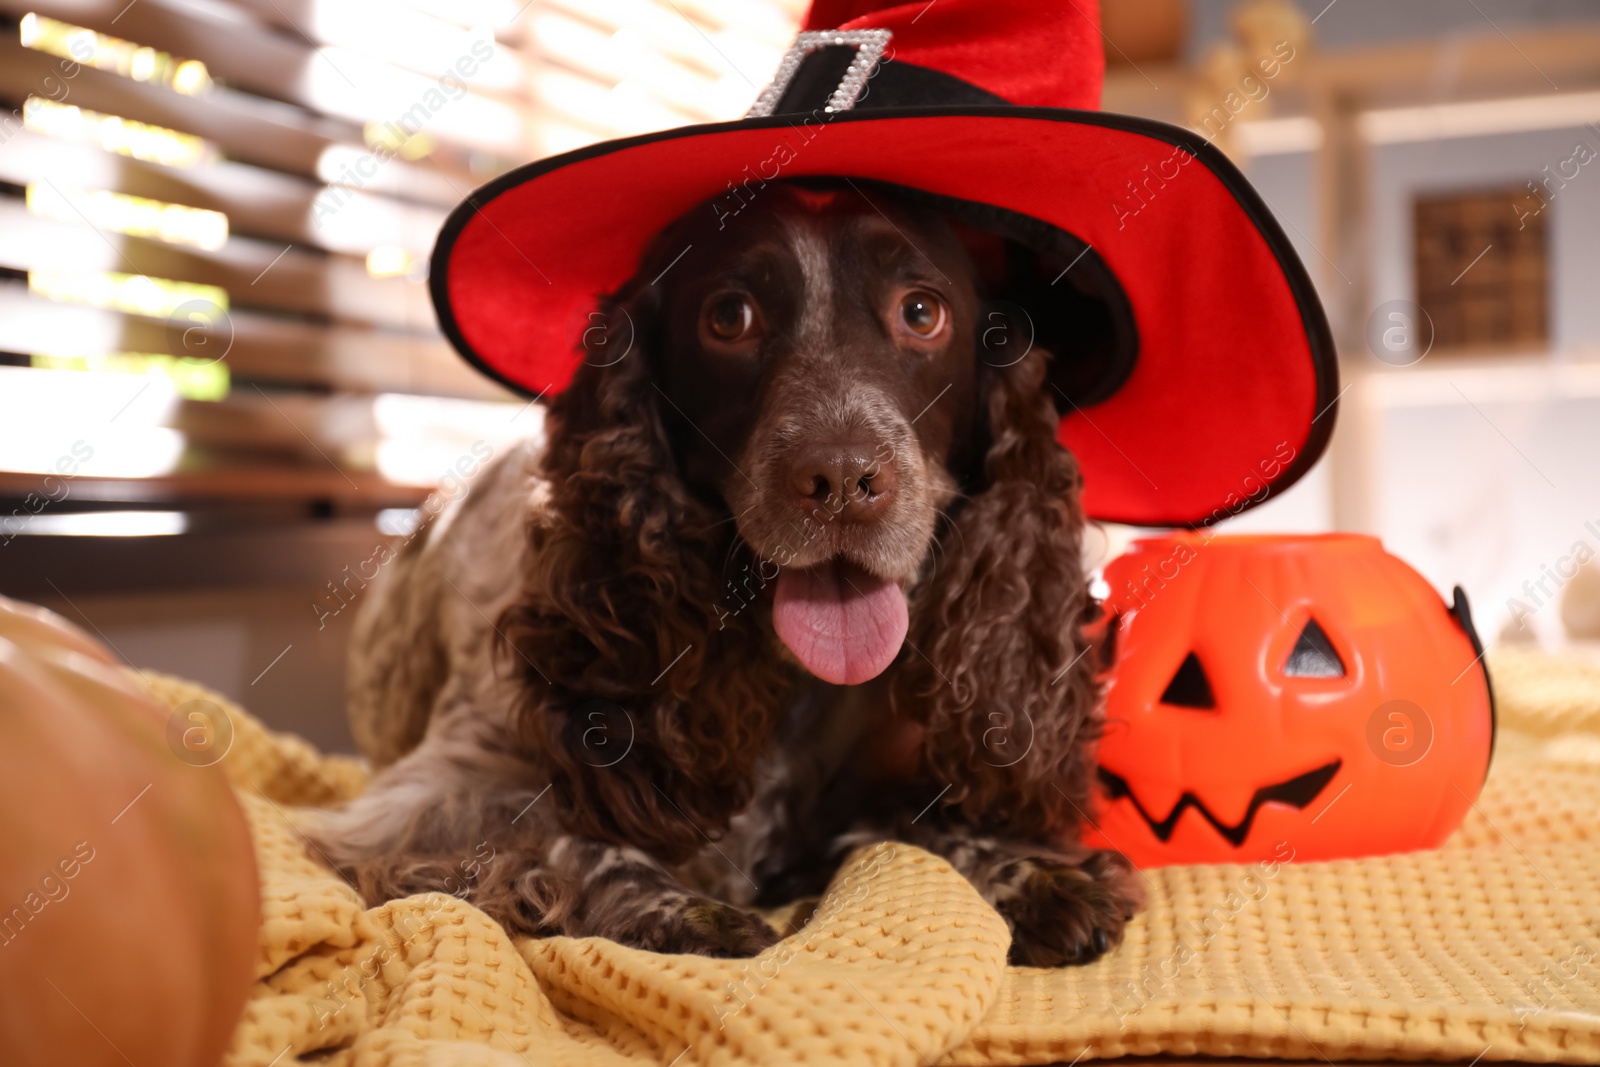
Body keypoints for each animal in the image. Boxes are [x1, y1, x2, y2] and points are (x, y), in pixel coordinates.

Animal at [308, 181, 1139, 966]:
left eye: (922, 311)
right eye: (730, 317)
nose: (842, 479)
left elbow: (920, 826)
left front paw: (1030, 873)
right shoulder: (421, 798)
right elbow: (572, 837)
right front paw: (681, 912)